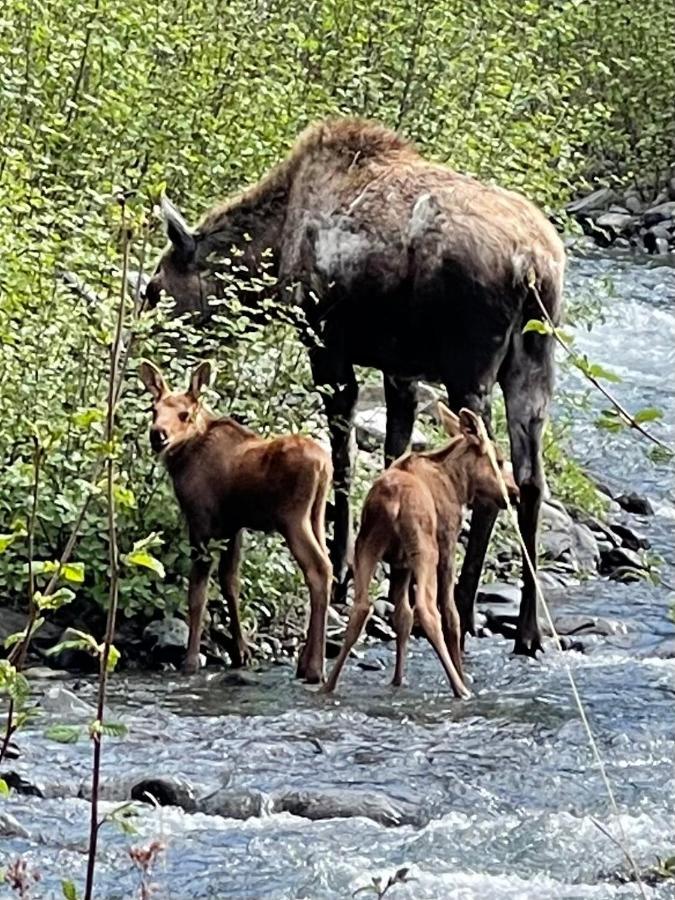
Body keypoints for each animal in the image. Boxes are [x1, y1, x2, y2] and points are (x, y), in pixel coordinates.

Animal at [139, 358, 334, 684]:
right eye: (154, 410)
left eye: (184, 414)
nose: (158, 435)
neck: (183, 461)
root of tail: (324, 465)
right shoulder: (234, 527)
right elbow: (230, 582)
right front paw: (241, 653)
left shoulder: (200, 522)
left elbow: (198, 593)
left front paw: (191, 660)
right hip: (317, 515)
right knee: (328, 566)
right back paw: (305, 662)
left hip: (293, 519)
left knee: (318, 569)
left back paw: (315, 668)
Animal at [147, 116, 564, 656]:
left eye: (153, 288)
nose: (142, 347)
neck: (272, 249)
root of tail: (533, 264)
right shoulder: (401, 368)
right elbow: (393, 453)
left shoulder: (326, 343)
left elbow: (342, 453)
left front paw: (344, 567)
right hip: (533, 365)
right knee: (531, 480)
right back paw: (529, 628)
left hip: (469, 368)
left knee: (493, 472)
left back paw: (466, 606)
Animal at [324, 406, 520, 696]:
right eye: (499, 460)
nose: (514, 492)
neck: (458, 482)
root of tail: (392, 501)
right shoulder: (447, 546)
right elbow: (451, 615)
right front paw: (462, 674)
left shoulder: (400, 564)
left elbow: (402, 617)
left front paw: (398, 679)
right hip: (426, 551)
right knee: (428, 610)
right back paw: (460, 689)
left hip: (366, 547)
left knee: (360, 607)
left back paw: (328, 685)